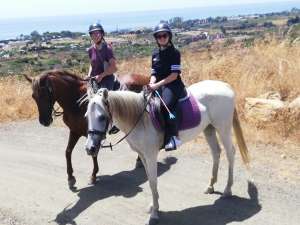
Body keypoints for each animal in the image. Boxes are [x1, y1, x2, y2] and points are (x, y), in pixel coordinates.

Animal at [84, 80, 248, 225]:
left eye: (102, 117)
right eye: (86, 116)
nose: (90, 148)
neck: (140, 119)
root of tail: (225, 85)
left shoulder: (150, 155)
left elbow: (153, 182)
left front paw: (155, 214)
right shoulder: (143, 156)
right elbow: (150, 180)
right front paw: (153, 206)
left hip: (223, 128)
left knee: (230, 153)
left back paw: (227, 189)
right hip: (209, 129)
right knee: (216, 152)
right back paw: (211, 186)